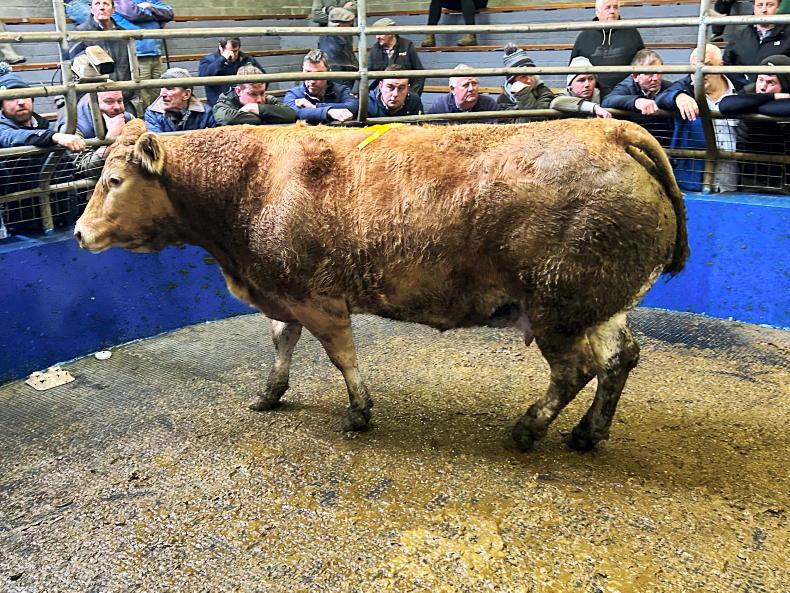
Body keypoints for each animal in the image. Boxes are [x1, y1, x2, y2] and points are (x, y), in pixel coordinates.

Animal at [74, 118, 688, 451]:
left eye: (114, 179)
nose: (78, 232)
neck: (248, 185)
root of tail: (608, 128)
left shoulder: (317, 295)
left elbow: (341, 355)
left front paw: (358, 411)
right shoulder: (281, 289)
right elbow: (281, 342)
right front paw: (270, 393)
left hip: (556, 304)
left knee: (575, 369)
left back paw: (526, 429)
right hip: (600, 302)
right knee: (619, 359)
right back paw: (588, 433)